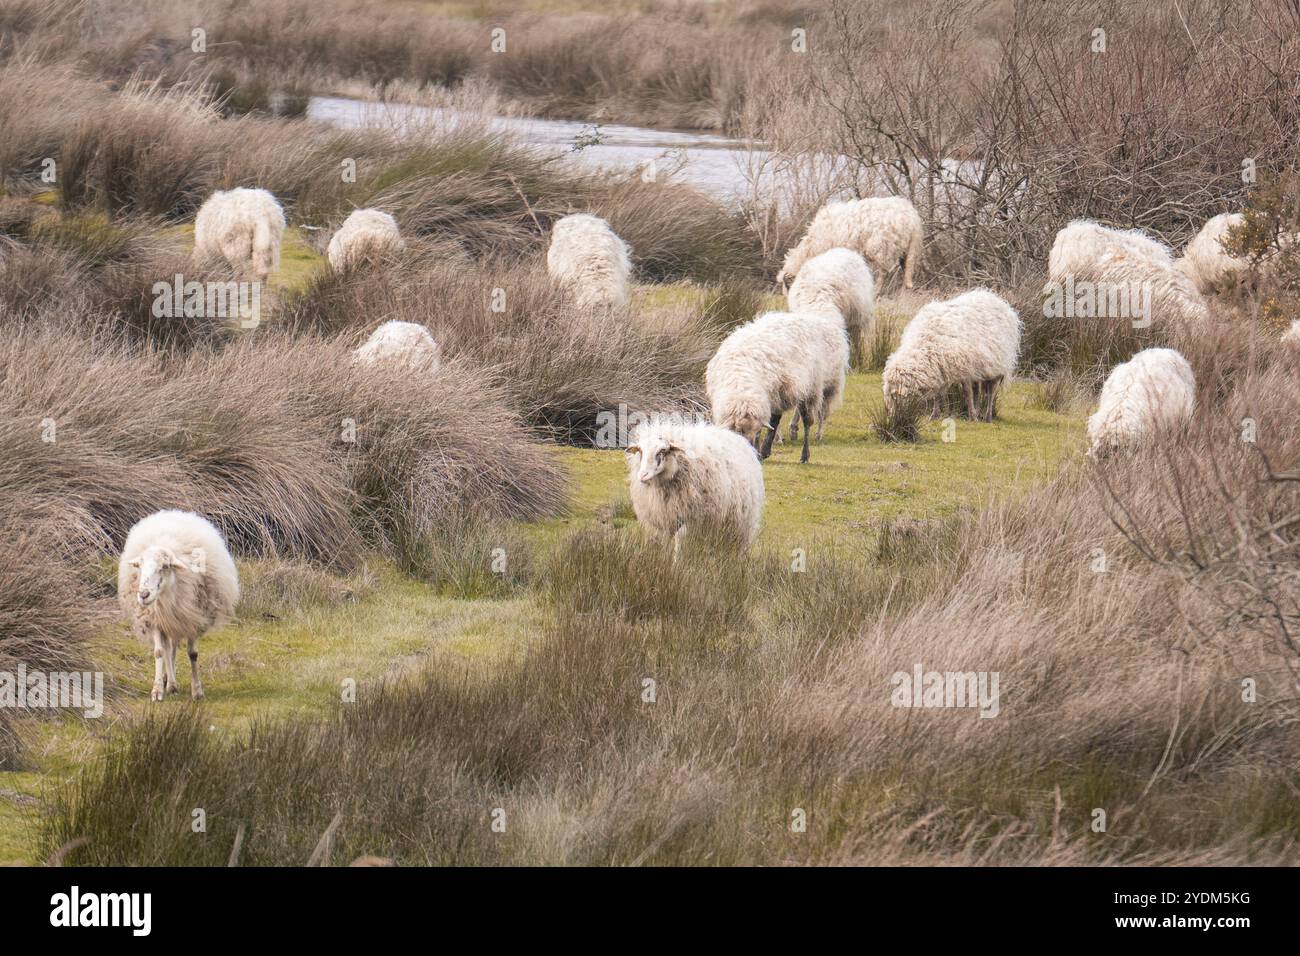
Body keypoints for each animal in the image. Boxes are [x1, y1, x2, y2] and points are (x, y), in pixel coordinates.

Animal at [117, 510, 240, 702]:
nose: (143, 595)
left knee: (173, 647)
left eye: (165, 566)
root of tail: (175, 512)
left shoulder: (193, 618)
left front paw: (197, 691)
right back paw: (170, 682)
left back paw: (171, 682)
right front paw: (157, 690)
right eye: (140, 566)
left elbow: (193, 654)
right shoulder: (155, 619)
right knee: (169, 649)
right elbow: (159, 652)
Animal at [626, 419, 765, 558]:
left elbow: (680, 539)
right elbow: (664, 541)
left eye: (662, 451)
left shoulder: (691, 517)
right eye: (640, 451)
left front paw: (677, 561)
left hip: (741, 521)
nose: (643, 475)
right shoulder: (662, 517)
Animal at [706, 310, 849, 463]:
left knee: (806, 421)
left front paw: (760, 452)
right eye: (738, 431)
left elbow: (771, 424)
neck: (741, 382)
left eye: (754, 430)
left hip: (810, 389)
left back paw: (803, 455)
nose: (749, 451)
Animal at [778, 196, 923, 292]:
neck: (811, 249)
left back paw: (877, 291)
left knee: (883, 272)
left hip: (882, 248)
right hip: (908, 250)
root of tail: (912, 217)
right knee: (907, 270)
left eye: (788, 286)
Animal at [881, 288, 1020, 423]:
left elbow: (967, 393)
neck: (926, 344)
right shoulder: (939, 367)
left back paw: (987, 417)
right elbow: (937, 394)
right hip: (978, 368)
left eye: (895, 396)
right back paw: (978, 412)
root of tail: (997, 299)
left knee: (990, 393)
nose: (892, 419)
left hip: (996, 368)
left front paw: (972, 417)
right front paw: (935, 415)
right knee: (977, 391)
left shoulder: (964, 368)